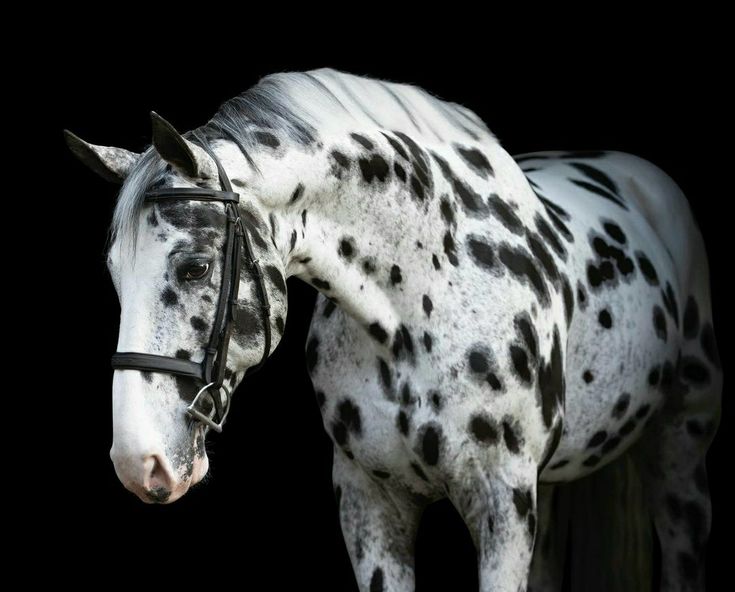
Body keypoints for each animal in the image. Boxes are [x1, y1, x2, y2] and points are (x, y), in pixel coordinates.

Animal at [69, 69, 724, 592]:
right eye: (115, 275)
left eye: (194, 267)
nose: (138, 462)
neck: (420, 310)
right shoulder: (371, 505)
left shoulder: (504, 509)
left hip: (679, 454)